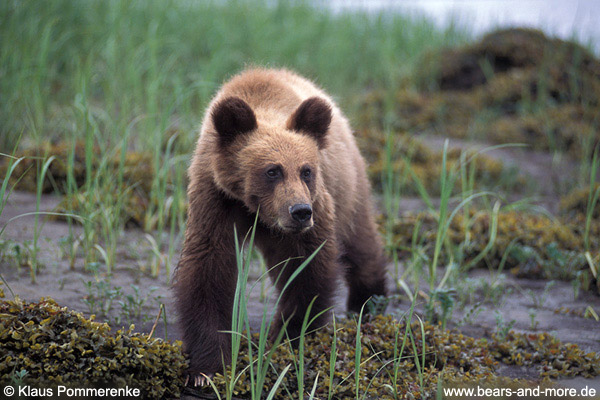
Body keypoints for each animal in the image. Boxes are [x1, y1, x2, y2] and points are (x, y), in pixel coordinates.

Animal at [173, 68, 390, 384]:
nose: (300, 211)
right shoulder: (216, 198)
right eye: (272, 171)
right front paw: (207, 367)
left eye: (306, 170)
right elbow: (208, 268)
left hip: (348, 188)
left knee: (360, 244)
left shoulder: (316, 208)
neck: (255, 208)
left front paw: (286, 337)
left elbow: (306, 271)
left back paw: (370, 301)